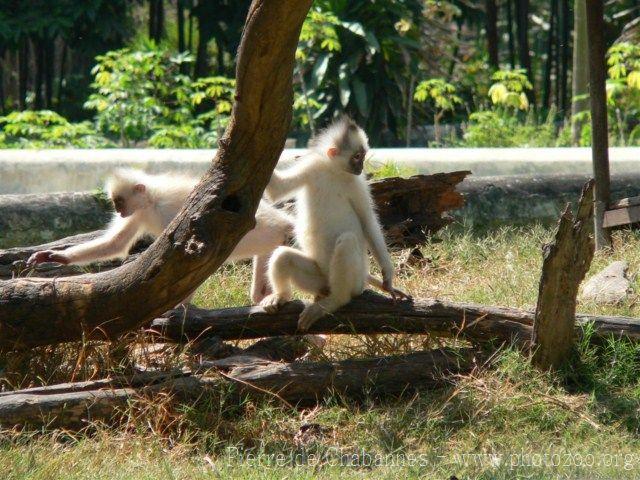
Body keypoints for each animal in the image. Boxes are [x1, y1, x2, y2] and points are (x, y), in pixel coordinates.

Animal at [27, 169, 292, 304]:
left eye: (119, 201)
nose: (118, 210)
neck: (152, 201)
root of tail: (282, 223)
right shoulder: (138, 212)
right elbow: (116, 244)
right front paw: (54, 256)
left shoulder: (171, 210)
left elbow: (188, 253)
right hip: (269, 241)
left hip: (267, 231)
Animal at [258, 118, 408, 332]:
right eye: (357, 156)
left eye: (363, 157)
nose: (361, 166)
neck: (333, 171)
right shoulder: (312, 167)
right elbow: (277, 190)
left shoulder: (357, 183)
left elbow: (369, 223)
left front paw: (388, 276)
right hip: (320, 278)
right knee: (282, 257)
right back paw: (281, 296)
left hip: (354, 281)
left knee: (347, 241)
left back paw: (335, 300)